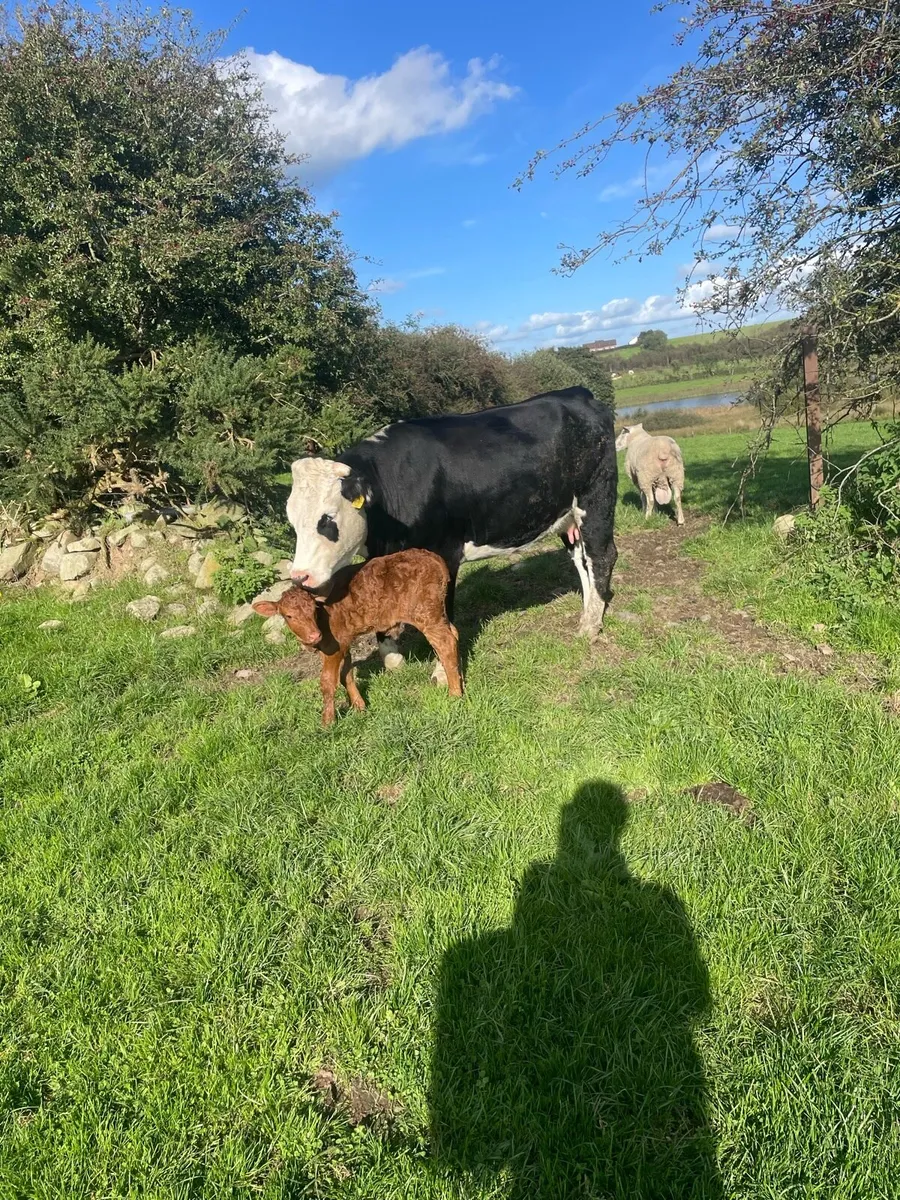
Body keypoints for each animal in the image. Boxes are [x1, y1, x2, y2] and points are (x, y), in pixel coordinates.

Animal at [286, 386, 618, 678]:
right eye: (292, 520)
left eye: (327, 518)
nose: (300, 577)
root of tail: (577, 393)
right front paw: (393, 658)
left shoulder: (444, 554)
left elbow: (442, 619)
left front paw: (442, 673)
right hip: (566, 514)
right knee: (582, 560)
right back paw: (589, 611)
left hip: (596, 497)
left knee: (601, 556)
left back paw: (591, 625)